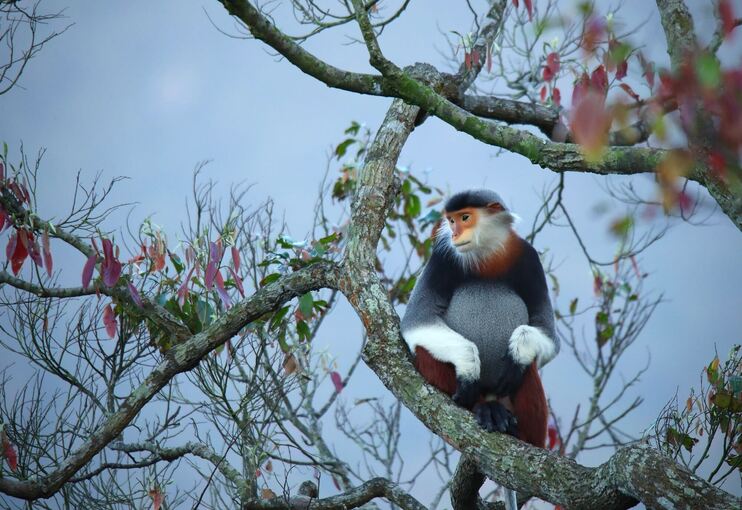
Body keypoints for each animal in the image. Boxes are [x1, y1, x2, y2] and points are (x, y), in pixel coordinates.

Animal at [401, 189, 558, 448]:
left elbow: (548, 335)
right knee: (425, 349)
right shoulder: (442, 258)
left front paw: (517, 353)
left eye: (465, 218)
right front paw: (469, 366)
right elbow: (417, 320)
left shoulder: (529, 257)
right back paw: (482, 409)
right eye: (451, 220)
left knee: (527, 367)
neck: (487, 254)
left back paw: (521, 434)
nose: (454, 233)